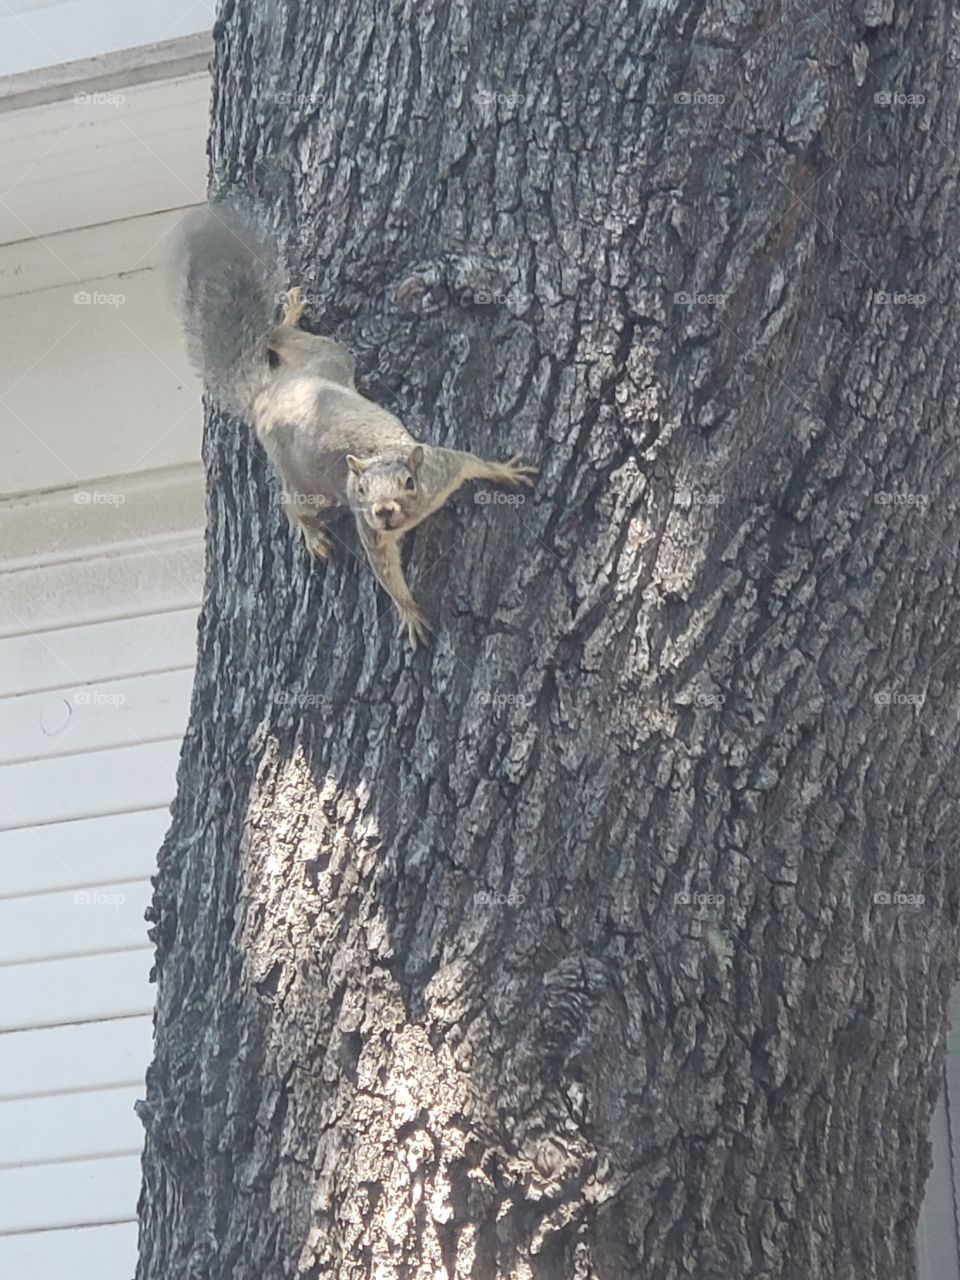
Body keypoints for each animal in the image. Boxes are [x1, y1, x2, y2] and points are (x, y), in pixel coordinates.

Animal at [177, 204, 536, 647]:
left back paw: (291, 314)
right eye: (361, 490)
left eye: (409, 483)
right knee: (290, 501)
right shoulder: (372, 533)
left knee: (282, 338)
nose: (383, 511)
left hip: (325, 357)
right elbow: (387, 575)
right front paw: (409, 612)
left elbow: (471, 461)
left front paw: (505, 471)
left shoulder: (442, 467)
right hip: (311, 476)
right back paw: (310, 532)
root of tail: (265, 397)